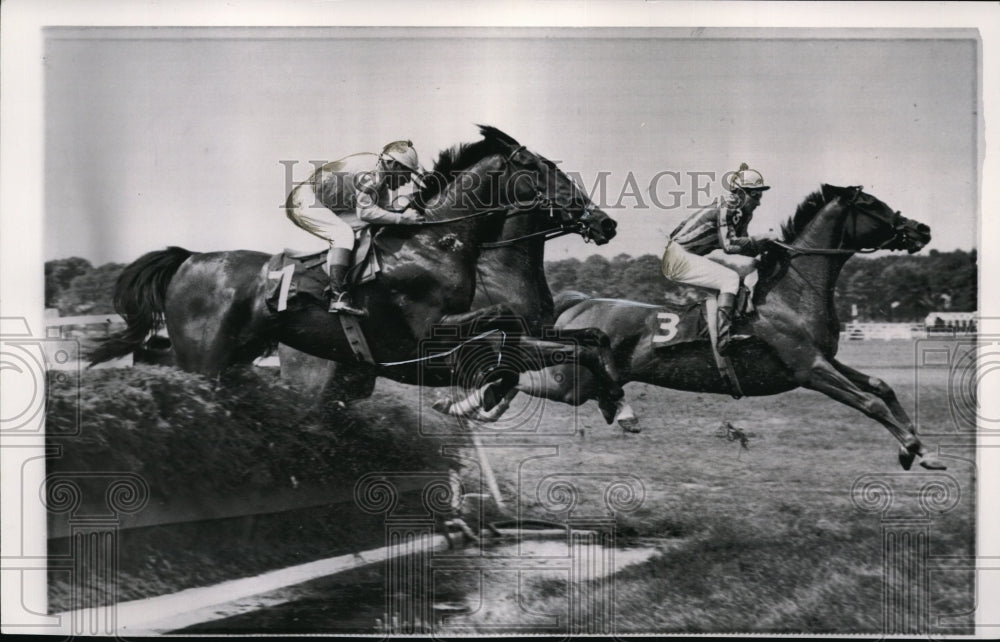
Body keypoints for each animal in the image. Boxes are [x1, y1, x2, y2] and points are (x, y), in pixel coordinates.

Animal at [460, 185, 944, 470]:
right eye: (873, 206)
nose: (922, 228)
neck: (792, 290)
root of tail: (577, 304)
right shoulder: (808, 368)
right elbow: (871, 402)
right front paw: (918, 451)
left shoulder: (826, 359)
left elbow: (881, 386)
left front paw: (917, 448)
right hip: (569, 380)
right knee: (516, 376)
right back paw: (468, 405)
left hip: (583, 379)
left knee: (540, 382)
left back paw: (619, 414)